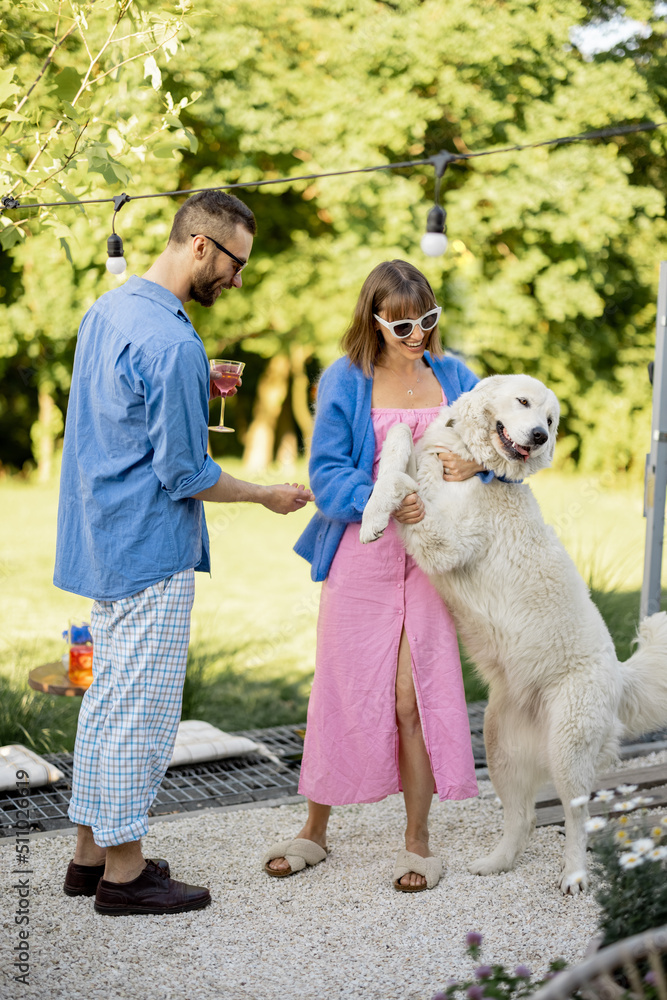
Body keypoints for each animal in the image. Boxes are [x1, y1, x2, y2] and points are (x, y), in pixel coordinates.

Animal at [362, 374, 667, 892]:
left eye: (551, 420)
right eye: (524, 403)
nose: (541, 436)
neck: (476, 460)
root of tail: (621, 675)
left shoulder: (448, 541)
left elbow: (411, 485)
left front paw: (390, 500)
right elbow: (403, 440)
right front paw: (374, 511)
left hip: (568, 750)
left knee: (578, 818)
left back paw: (574, 875)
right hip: (499, 746)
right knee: (522, 817)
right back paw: (496, 863)